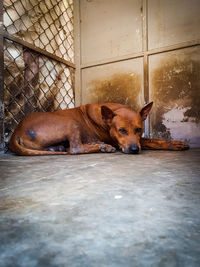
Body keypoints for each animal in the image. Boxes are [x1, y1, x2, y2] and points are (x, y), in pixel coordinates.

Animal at [9, 103, 189, 157]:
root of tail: (16, 130)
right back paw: (102, 147)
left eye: (139, 129)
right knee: (75, 149)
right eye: (122, 131)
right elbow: (151, 141)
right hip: (70, 122)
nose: (134, 149)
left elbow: (151, 139)